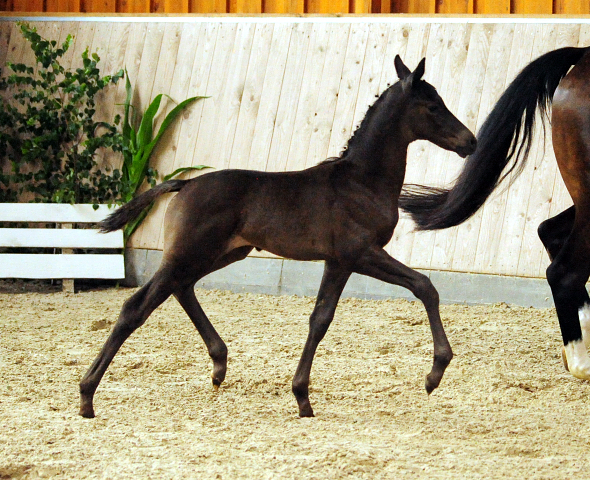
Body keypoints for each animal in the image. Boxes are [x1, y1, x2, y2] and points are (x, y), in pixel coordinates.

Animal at [80, 55, 476, 416]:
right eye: (433, 105)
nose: (470, 141)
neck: (362, 181)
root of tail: (185, 184)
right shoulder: (356, 254)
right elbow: (419, 287)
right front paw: (434, 373)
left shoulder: (341, 260)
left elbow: (325, 317)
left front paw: (302, 395)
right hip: (190, 252)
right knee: (136, 307)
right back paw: (87, 395)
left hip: (223, 253)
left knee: (182, 288)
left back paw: (219, 365)